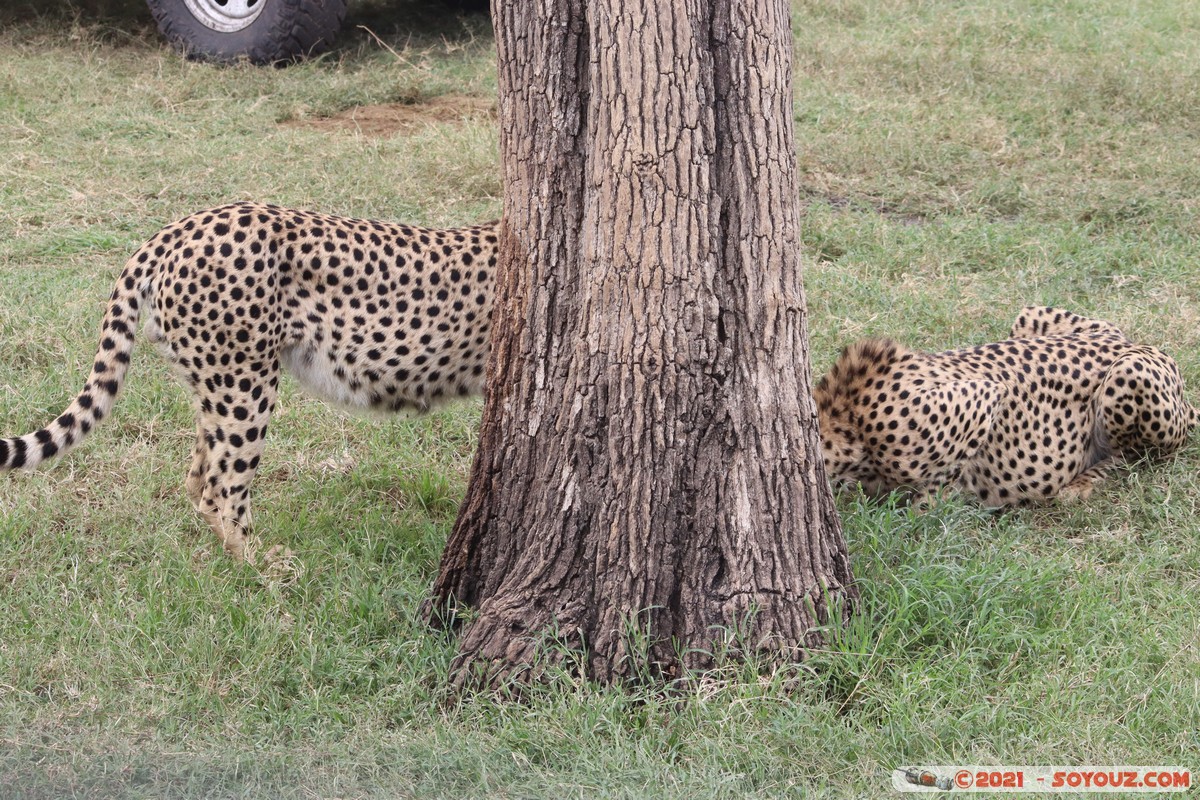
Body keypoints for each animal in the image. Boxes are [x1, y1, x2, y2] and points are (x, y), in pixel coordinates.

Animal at [1, 202, 499, 561]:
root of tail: (183, 225)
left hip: (213, 386)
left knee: (197, 477)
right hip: (246, 386)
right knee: (220, 487)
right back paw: (264, 567)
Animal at [814, 306, 1198, 508]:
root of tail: (1128, 341)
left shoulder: (983, 396)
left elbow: (931, 494)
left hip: (1130, 371)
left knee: (1137, 455)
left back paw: (1081, 484)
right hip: (1029, 315)